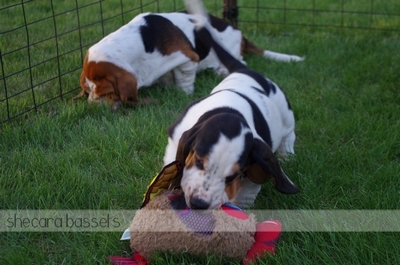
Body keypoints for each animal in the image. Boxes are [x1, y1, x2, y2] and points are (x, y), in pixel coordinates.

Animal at [74, 10, 304, 108]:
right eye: (87, 90)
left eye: (105, 92)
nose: (92, 104)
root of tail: (240, 34)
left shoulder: (186, 58)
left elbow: (184, 78)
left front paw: (183, 92)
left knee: (240, 61)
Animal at [162, 1, 296, 209]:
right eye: (199, 162)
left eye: (232, 176)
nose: (199, 203)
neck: (229, 109)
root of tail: (245, 70)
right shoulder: (177, 137)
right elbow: (173, 160)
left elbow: (246, 192)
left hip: (285, 113)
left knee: (289, 135)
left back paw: (287, 154)